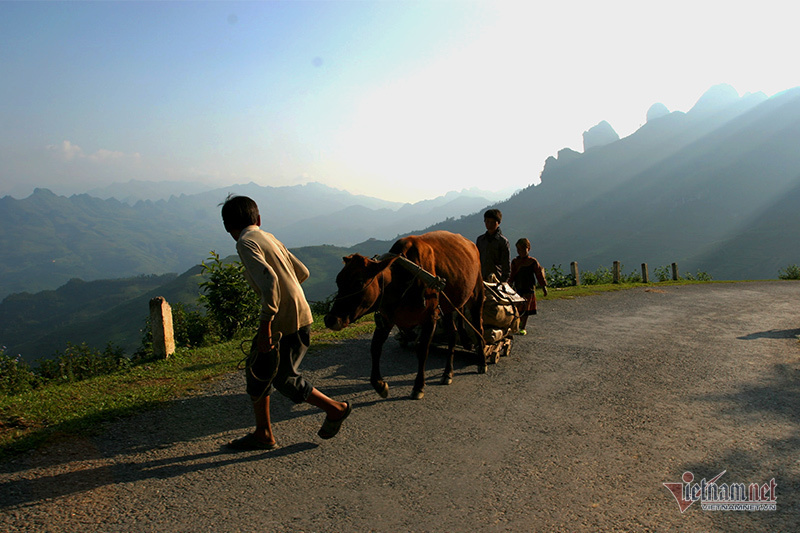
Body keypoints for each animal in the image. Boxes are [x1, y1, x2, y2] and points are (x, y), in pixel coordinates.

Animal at [322, 230, 484, 400]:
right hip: (447, 307)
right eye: (338, 281)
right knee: (453, 334)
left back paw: (482, 362)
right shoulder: (387, 318)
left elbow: (422, 351)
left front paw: (418, 386)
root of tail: (471, 244)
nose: (330, 319)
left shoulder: (430, 317)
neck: (401, 280)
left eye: (359, 282)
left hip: (477, 293)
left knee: (478, 326)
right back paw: (447, 373)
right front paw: (380, 385)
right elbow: (375, 348)